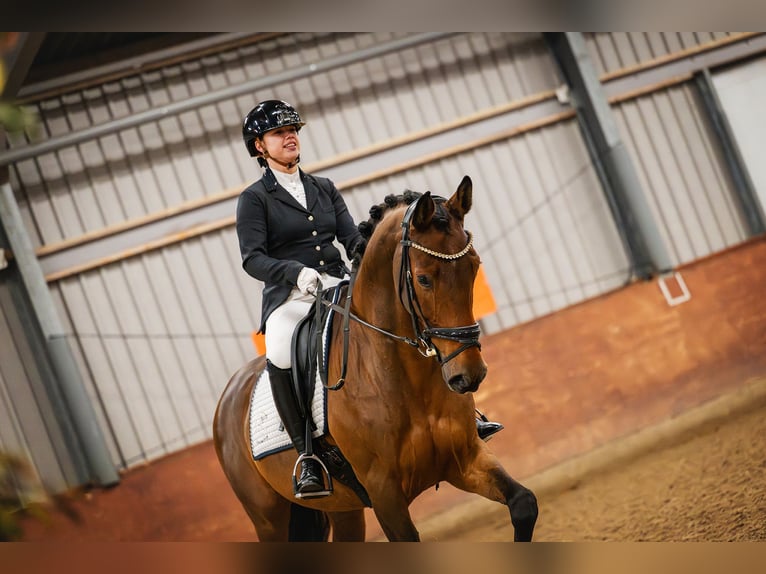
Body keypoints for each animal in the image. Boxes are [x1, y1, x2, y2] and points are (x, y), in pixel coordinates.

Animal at [213, 175, 538, 541]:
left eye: (474, 267)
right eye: (423, 278)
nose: (469, 374)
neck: (404, 381)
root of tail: (229, 396)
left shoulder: (467, 459)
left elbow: (524, 503)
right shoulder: (384, 493)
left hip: (343, 508)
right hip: (269, 519)